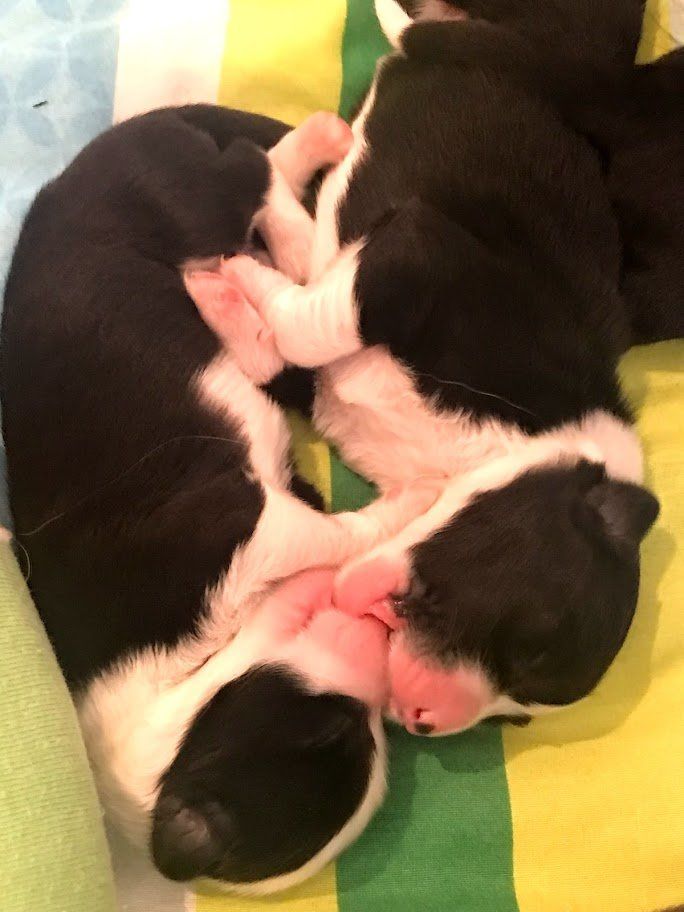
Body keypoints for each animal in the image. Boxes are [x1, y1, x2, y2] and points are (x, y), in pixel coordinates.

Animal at [0, 104, 437, 890]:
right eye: (346, 729)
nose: (381, 644)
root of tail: (81, 162)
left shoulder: (249, 522)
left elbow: (333, 531)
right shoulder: (266, 519)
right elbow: (339, 533)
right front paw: (412, 505)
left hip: (182, 198)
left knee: (249, 171)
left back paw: (306, 163)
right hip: (190, 202)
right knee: (254, 183)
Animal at [201, 0, 660, 736]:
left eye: (512, 720)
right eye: (532, 646)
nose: (422, 722)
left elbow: (289, 325)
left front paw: (241, 288)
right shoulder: (422, 254)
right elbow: (310, 325)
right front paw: (240, 274)